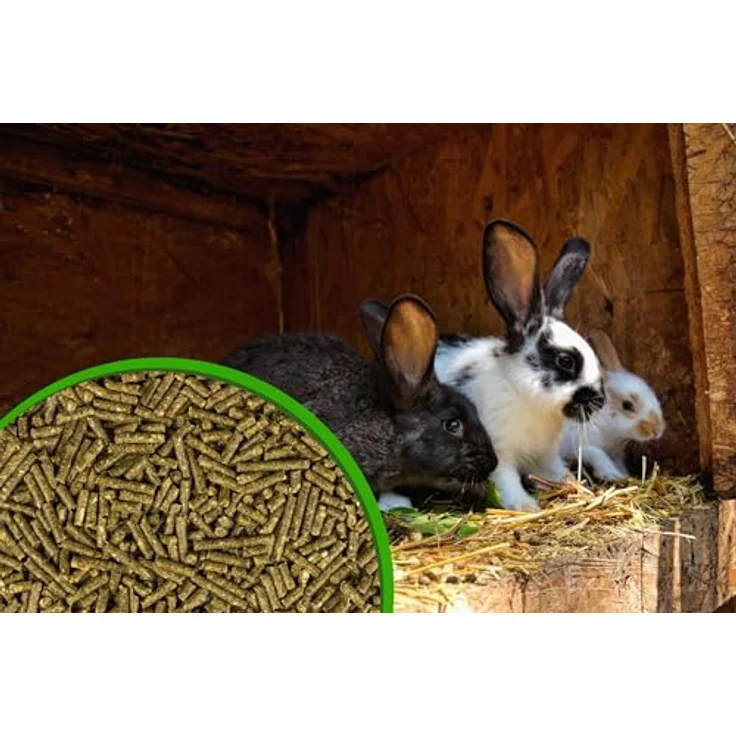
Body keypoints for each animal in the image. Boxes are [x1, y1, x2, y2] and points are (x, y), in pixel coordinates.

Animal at [433, 219, 606, 511]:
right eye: (565, 360)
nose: (601, 400)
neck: (520, 393)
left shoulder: (544, 454)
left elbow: (556, 471)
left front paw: (575, 486)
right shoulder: (497, 454)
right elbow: (507, 482)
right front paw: (526, 506)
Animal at [559, 329, 666, 481]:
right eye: (627, 405)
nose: (658, 430)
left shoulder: (616, 454)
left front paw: (624, 474)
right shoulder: (580, 445)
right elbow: (599, 455)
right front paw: (612, 475)